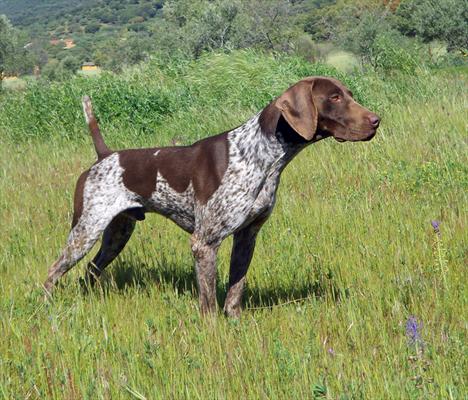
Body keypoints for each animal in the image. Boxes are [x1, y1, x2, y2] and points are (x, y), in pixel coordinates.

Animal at [44, 76, 380, 318]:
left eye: (349, 93)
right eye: (334, 98)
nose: (376, 120)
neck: (260, 154)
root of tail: (105, 155)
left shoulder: (247, 236)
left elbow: (235, 290)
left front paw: (236, 322)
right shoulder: (205, 243)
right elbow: (208, 300)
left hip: (117, 233)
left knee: (90, 270)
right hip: (85, 231)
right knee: (53, 271)